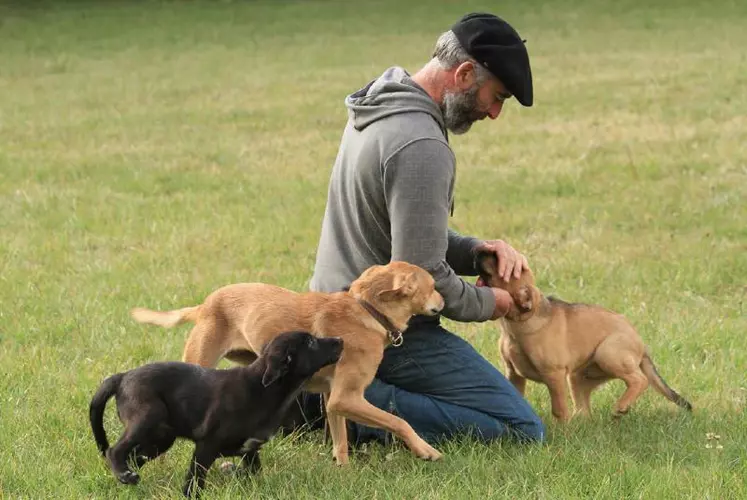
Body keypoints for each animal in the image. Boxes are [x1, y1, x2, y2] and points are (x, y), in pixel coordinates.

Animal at [89, 330, 344, 498]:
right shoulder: (207, 444)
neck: (265, 390)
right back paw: (125, 475)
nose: (341, 339)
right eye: (311, 342)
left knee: (134, 455)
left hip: (160, 438)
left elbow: (253, 471)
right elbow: (194, 480)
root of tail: (122, 376)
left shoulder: (250, 448)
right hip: (147, 416)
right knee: (115, 450)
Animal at [130, 262, 444, 464]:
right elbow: (398, 421)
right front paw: (425, 450)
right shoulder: (347, 397)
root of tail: (205, 305)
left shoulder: (333, 399)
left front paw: (343, 472)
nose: (443, 302)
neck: (368, 310)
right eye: (433, 287)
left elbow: (340, 441)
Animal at [476, 252, 692, 420]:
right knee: (584, 410)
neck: (516, 325)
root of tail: (642, 345)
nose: (481, 248)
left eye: (500, 263)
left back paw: (620, 407)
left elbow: (559, 409)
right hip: (578, 377)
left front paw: (561, 433)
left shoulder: (554, 375)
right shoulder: (514, 373)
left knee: (639, 380)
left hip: (608, 354)